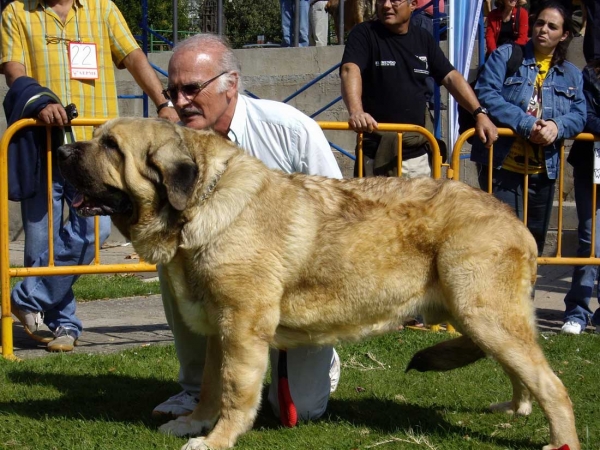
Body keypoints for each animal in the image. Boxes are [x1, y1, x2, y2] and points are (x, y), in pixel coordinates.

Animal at [58, 118, 580, 450]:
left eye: (111, 146)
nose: (62, 150)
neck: (201, 202)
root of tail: (515, 219)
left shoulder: (241, 328)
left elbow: (234, 390)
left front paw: (217, 439)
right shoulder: (218, 329)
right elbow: (209, 385)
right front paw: (195, 423)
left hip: (484, 316)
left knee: (552, 384)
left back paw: (560, 441)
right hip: (482, 321)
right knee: (523, 374)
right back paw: (515, 410)